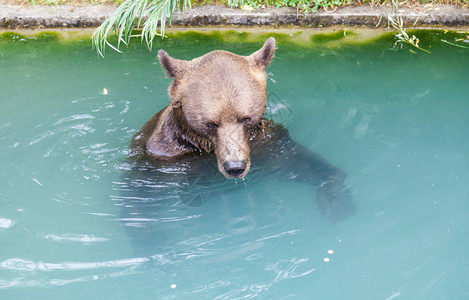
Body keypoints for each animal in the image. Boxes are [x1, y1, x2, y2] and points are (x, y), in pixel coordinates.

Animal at [126, 37, 352, 220]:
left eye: (245, 118)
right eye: (210, 123)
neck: (205, 150)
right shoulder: (164, 158)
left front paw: (335, 201)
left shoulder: (265, 143)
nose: (235, 166)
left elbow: (301, 162)